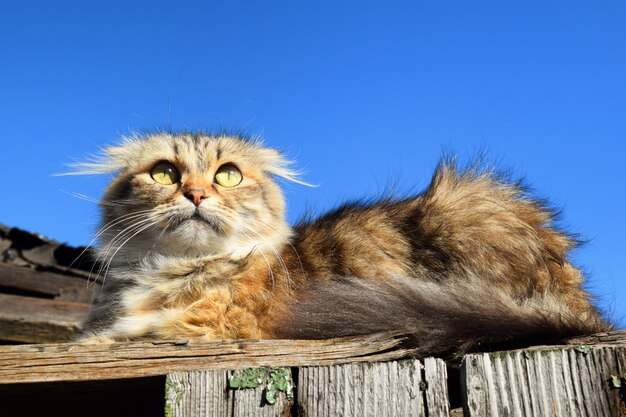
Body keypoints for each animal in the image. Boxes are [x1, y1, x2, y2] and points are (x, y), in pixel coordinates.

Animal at [74, 131, 608, 360]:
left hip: (465, 207)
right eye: (165, 173)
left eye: (227, 175)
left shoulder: (206, 328)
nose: (196, 194)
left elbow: (110, 338)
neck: (174, 268)